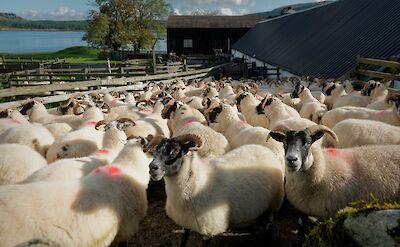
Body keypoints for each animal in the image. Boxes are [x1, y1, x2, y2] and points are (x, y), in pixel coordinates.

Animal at [148, 134, 284, 246]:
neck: (198, 182)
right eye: (156, 150)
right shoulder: (186, 221)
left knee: (270, 219)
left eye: (175, 151)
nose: (152, 168)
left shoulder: (209, 229)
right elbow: (183, 241)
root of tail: (264, 149)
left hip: (275, 199)